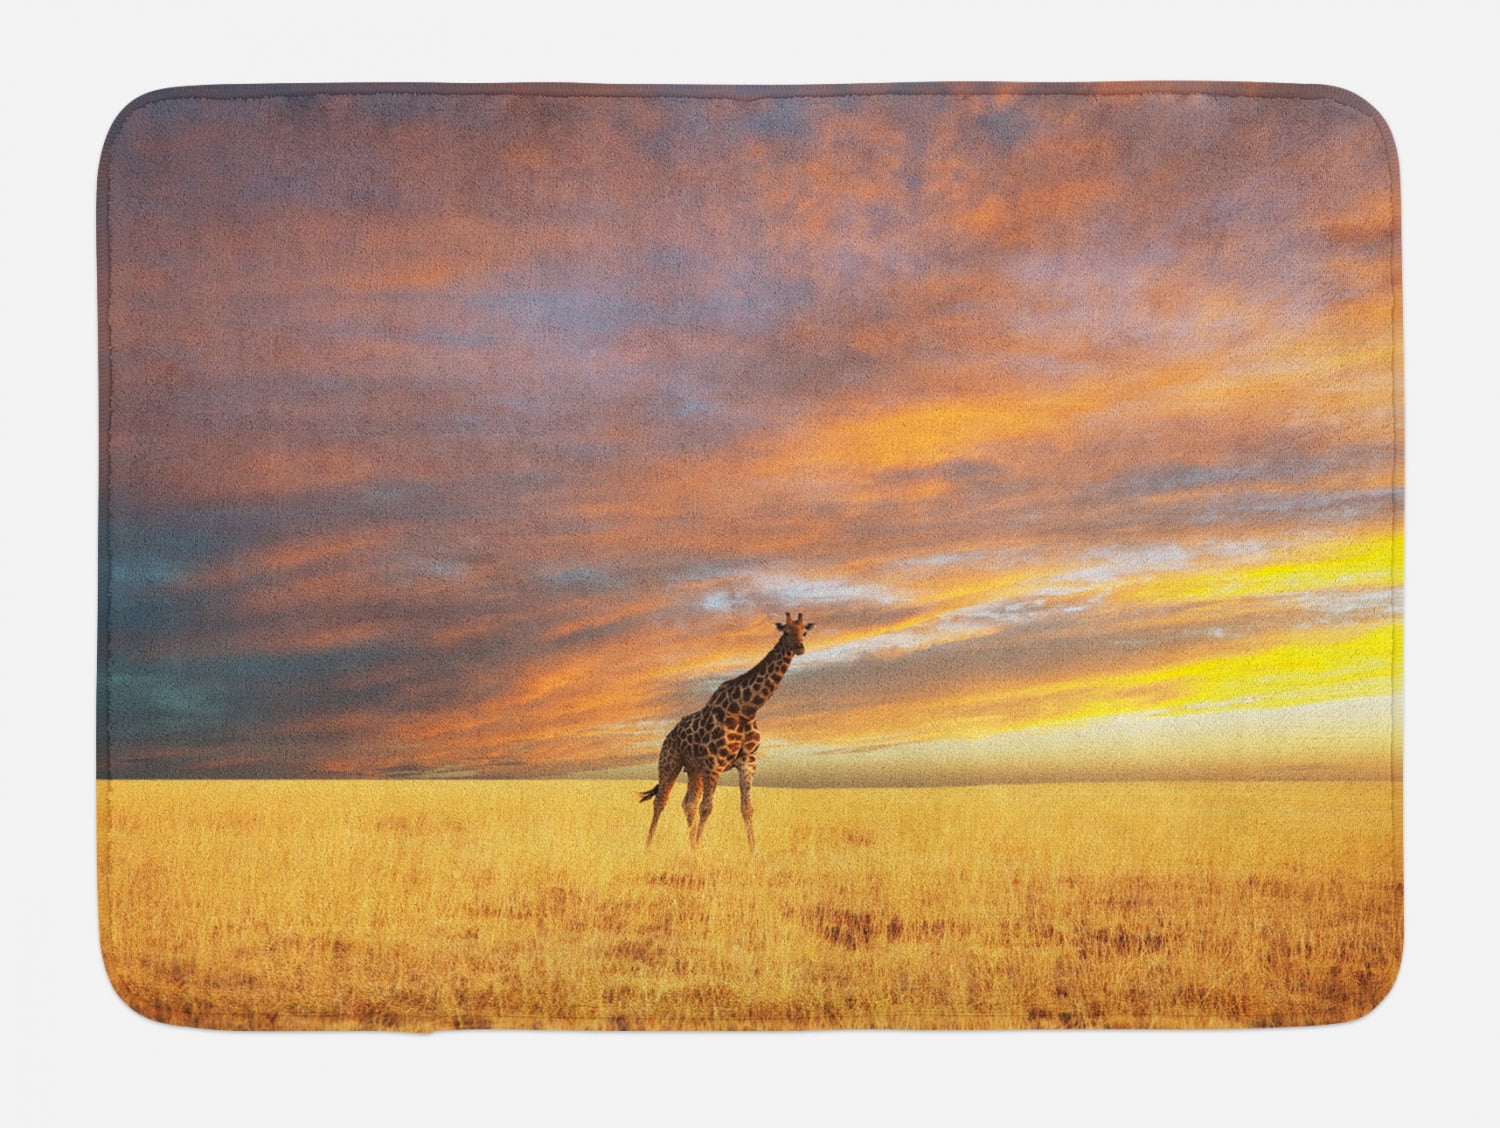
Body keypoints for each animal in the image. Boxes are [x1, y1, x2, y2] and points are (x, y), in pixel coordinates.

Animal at [640, 612, 814, 851]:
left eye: (804, 632)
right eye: (785, 632)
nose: (800, 647)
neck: (745, 710)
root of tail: (668, 736)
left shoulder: (748, 762)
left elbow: (747, 808)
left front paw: (753, 851)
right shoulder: (714, 764)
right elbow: (707, 807)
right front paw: (700, 852)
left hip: (694, 769)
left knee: (688, 803)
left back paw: (689, 845)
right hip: (670, 762)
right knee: (661, 801)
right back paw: (648, 847)